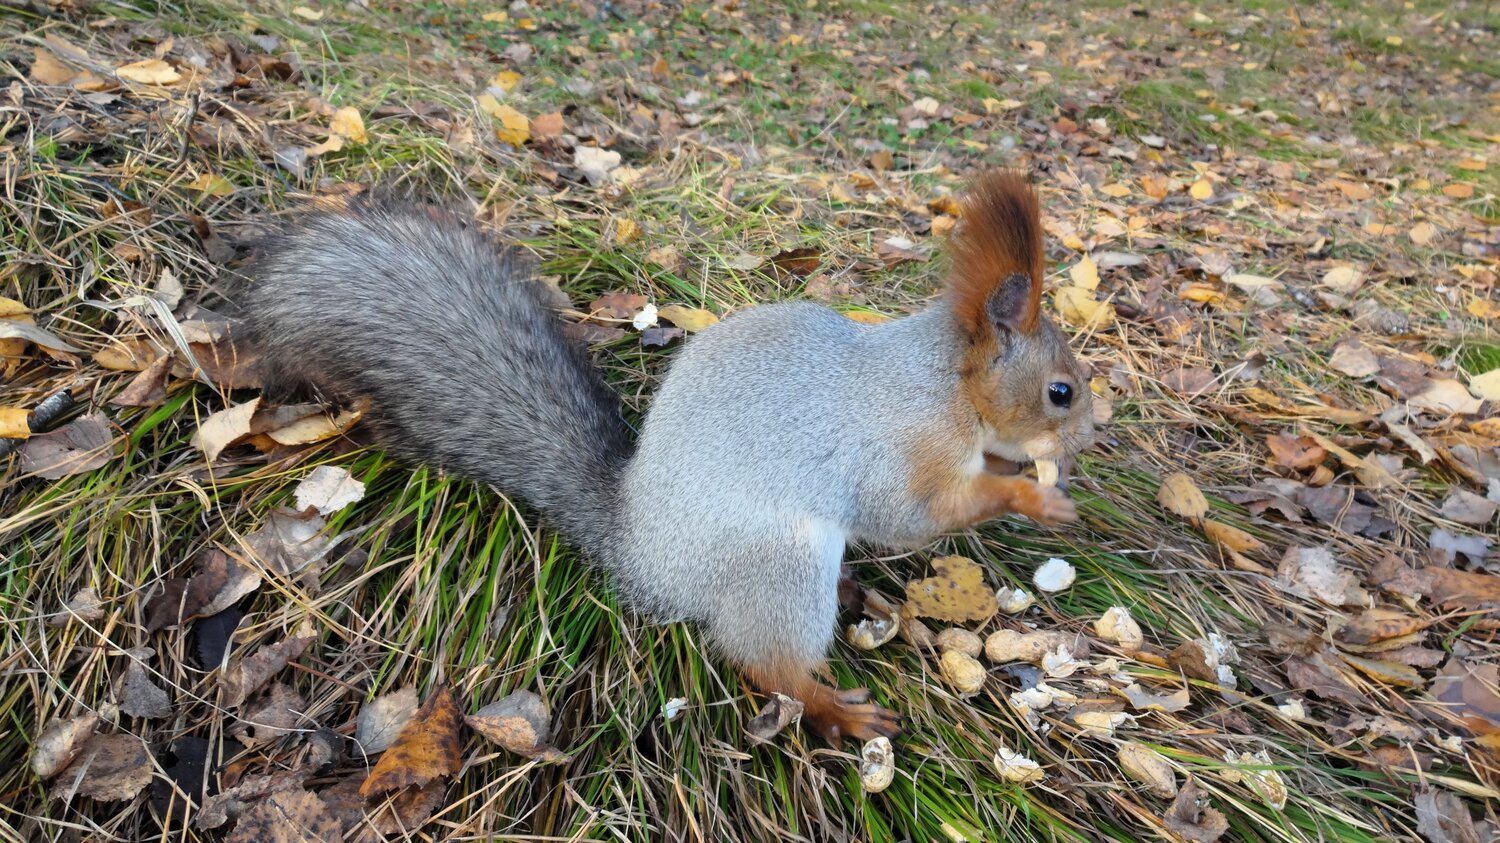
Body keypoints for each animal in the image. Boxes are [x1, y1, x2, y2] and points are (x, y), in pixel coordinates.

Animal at [240, 170, 1094, 745]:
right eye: (1060, 391)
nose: (1091, 435)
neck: (944, 385)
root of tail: (642, 554)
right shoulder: (901, 451)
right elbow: (914, 516)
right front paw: (1033, 496)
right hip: (779, 563)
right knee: (763, 661)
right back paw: (831, 707)